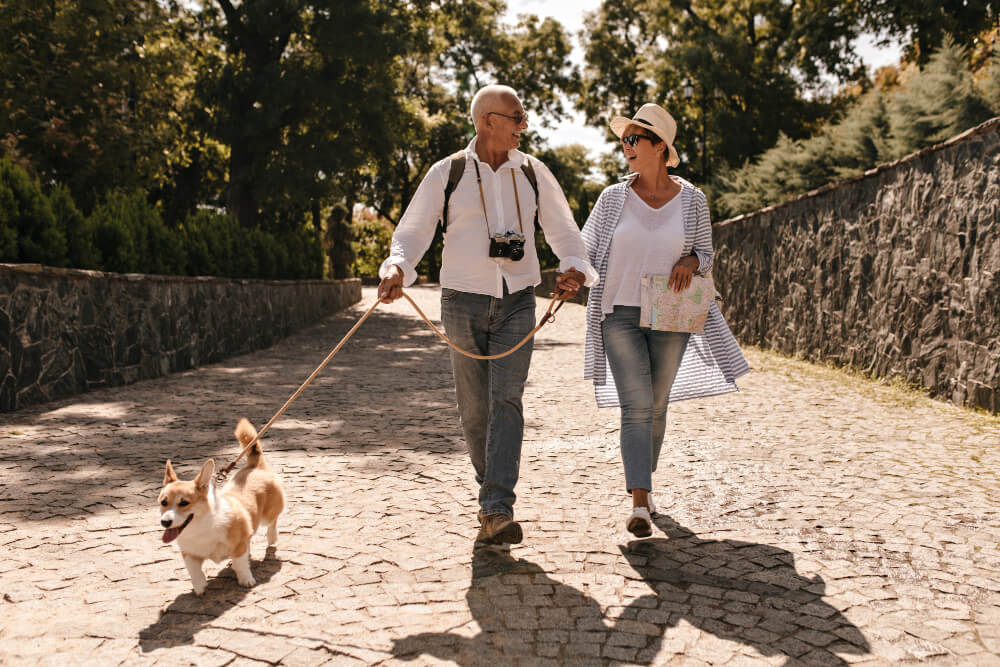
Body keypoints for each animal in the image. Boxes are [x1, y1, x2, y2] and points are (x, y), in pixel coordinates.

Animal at [156, 420, 288, 596]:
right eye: (163, 502)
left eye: (184, 503)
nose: (165, 522)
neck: (201, 528)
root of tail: (255, 466)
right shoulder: (189, 554)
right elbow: (194, 571)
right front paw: (200, 588)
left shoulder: (238, 547)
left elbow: (240, 564)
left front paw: (246, 580)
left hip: (268, 515)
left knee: (272, 522)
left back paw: (272, 537)